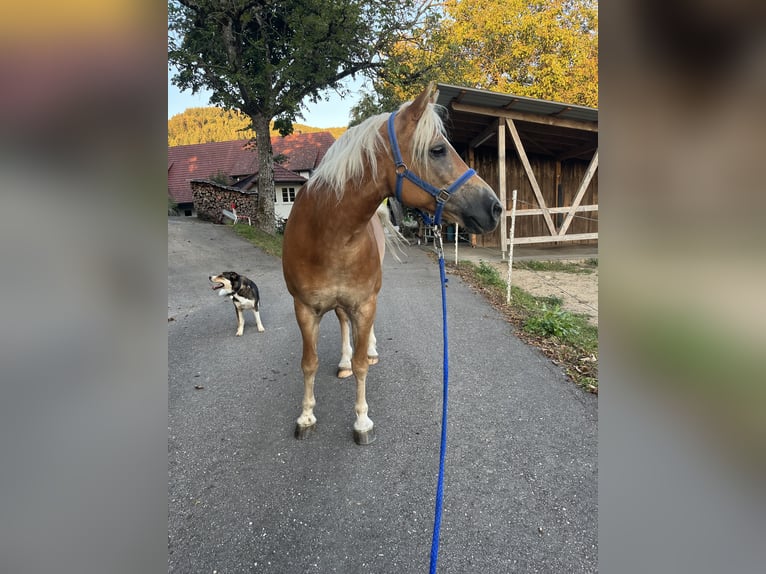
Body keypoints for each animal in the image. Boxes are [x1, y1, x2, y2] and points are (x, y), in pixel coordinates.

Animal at [282, 83, 504, 448]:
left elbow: (361, 366)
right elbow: (309, 363)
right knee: (343, 324)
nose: (495, 208)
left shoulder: (364, 303)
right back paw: (343, 359)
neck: (330, 234)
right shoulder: (304, 308)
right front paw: (306, 416)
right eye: (438, 150)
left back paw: (367, 349)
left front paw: (362, 421)